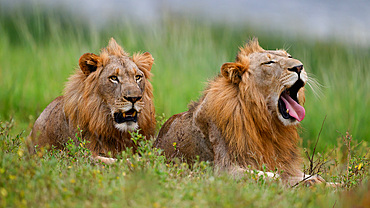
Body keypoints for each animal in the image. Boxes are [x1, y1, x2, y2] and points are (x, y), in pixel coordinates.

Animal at [155, 38, 326, 185]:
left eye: (289, 56)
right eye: (269, 62)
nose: (299, 67)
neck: (265, 121)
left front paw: (321, 182)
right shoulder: (223, 169)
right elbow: (272, 176)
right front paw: (306, 182)